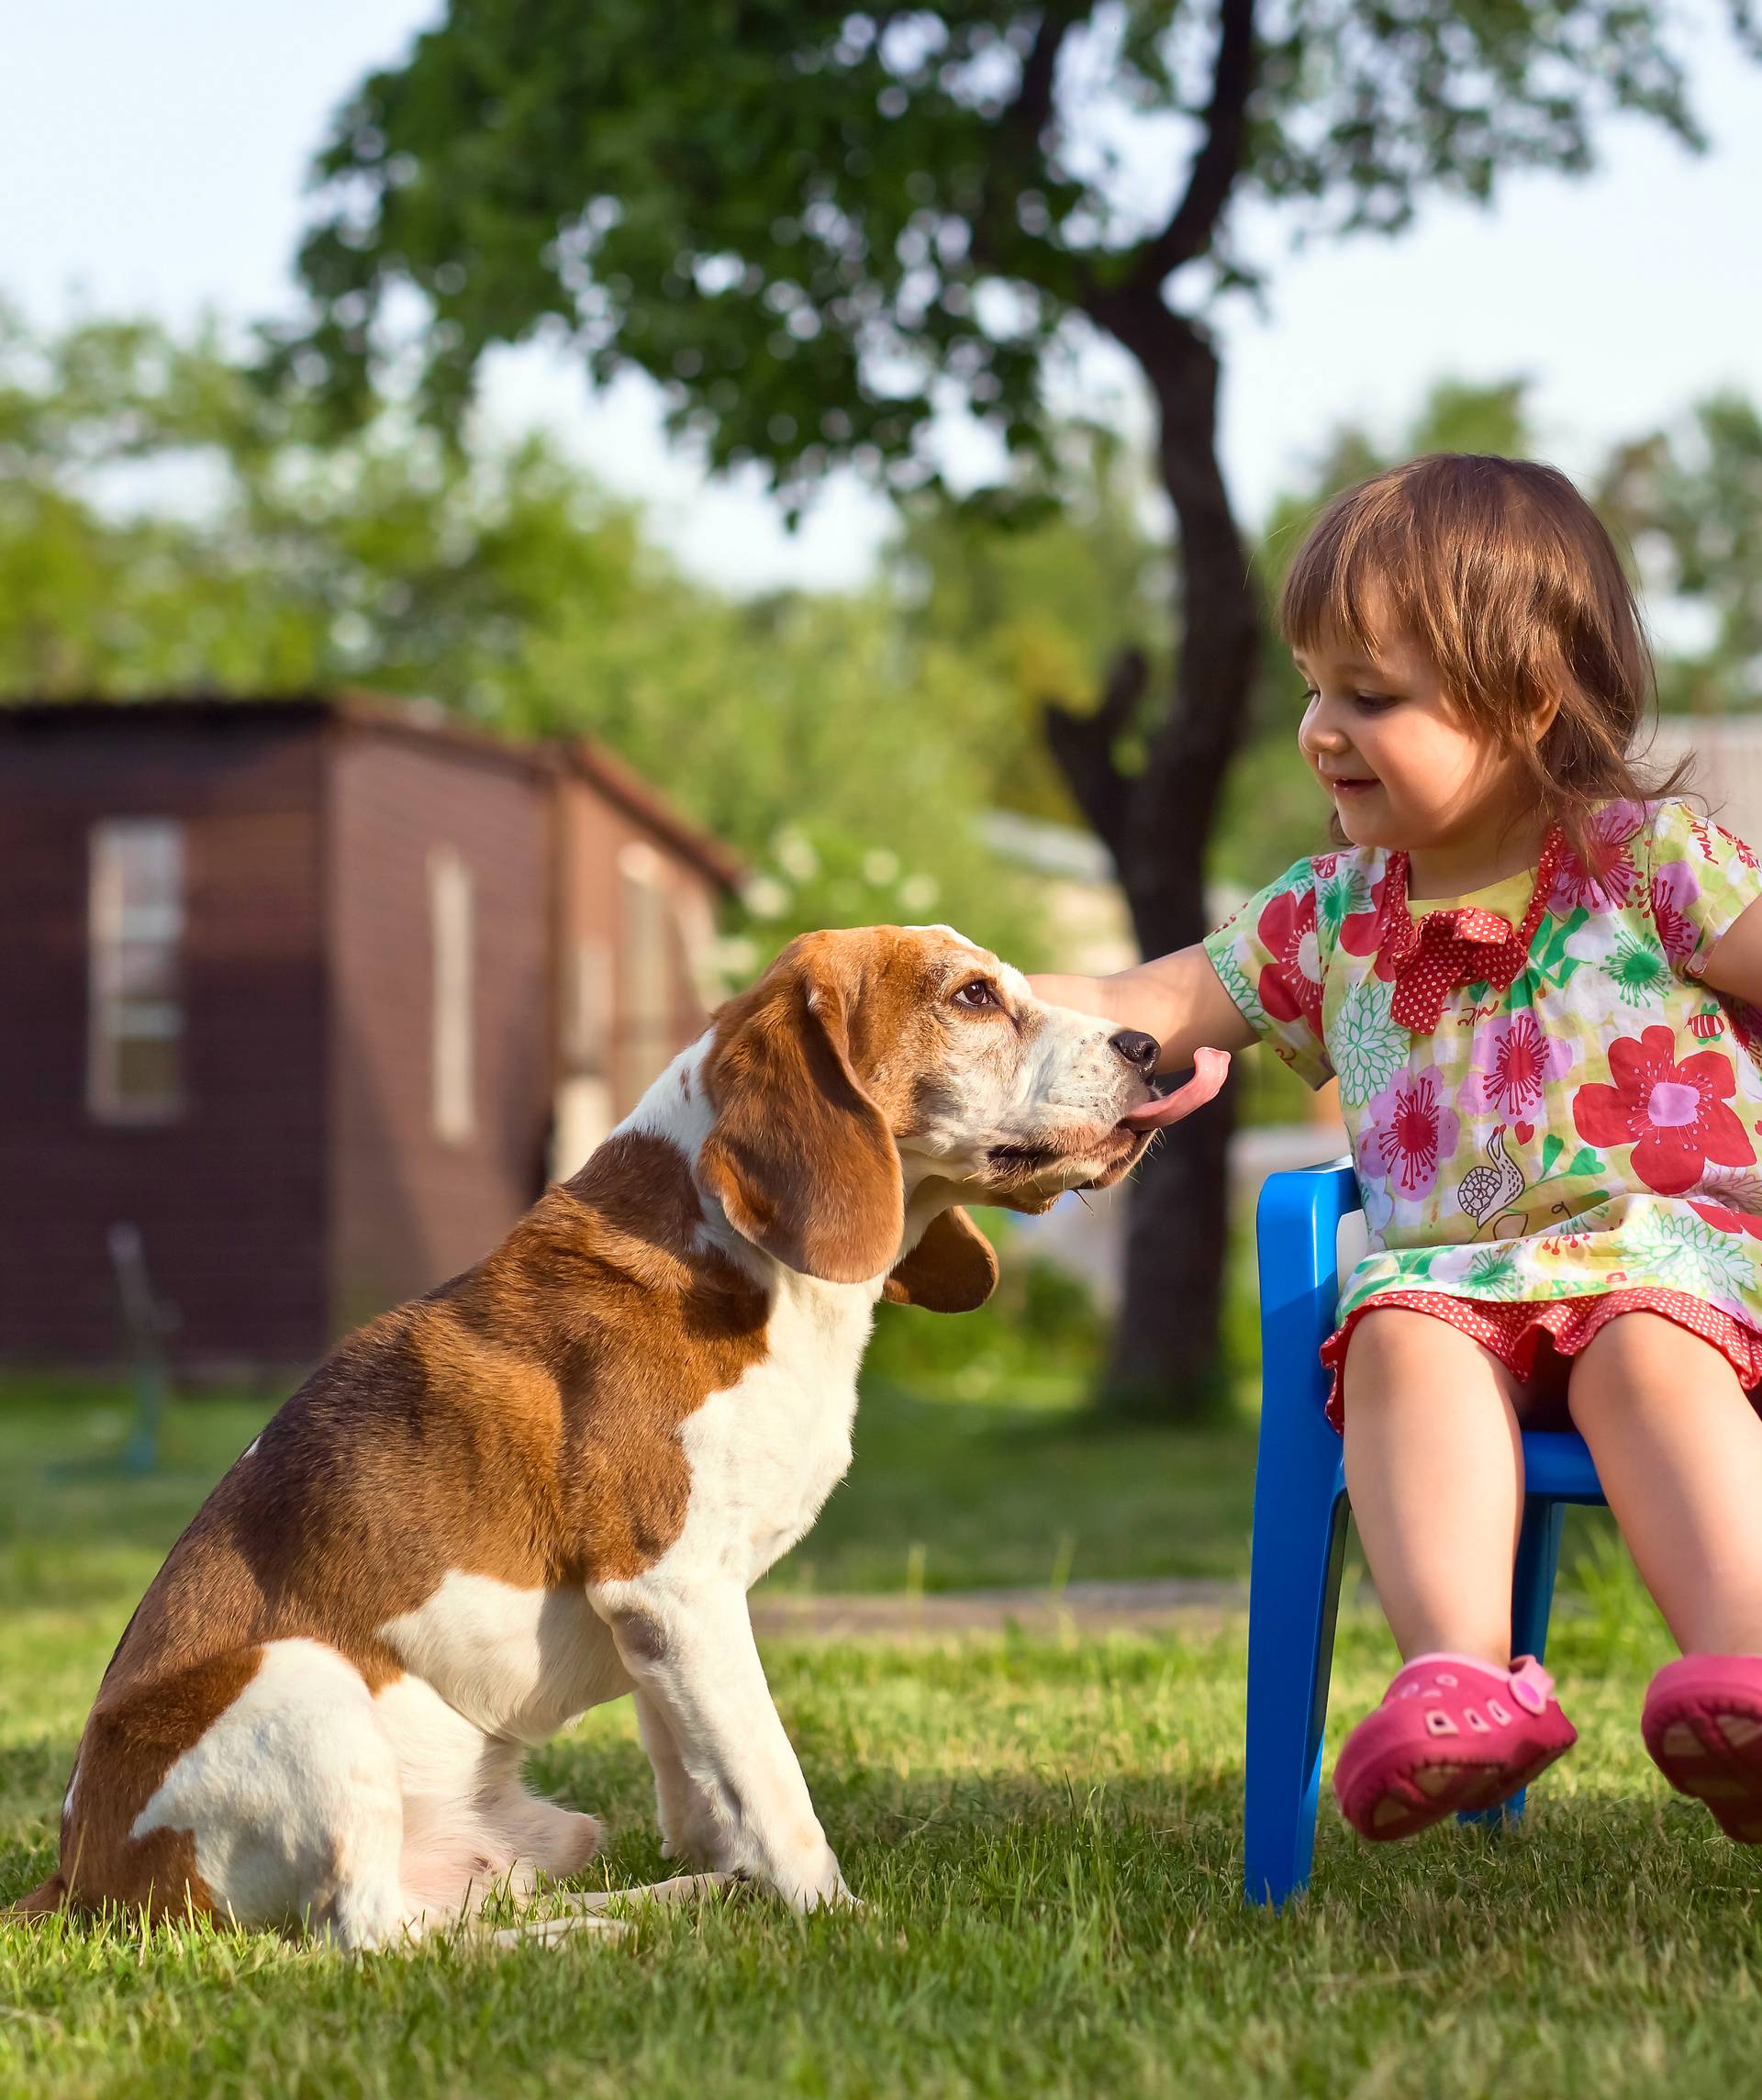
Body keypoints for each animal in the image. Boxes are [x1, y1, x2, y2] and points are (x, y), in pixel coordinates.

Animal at [14, 928, 1226, 1940]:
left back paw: (673, 1903)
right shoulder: (674, 1588)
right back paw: (597, 1938)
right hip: (300, 1679)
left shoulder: (669, 1627)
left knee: (465, 1905)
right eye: (974, 996)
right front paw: (839, 1920)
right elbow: (775, 1784)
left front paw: (733, 1874)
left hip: (547, 1830)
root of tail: (74, 1873)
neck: (745, 1260)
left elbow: (704, 1779)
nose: (1145, 1043)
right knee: (376, 1938)